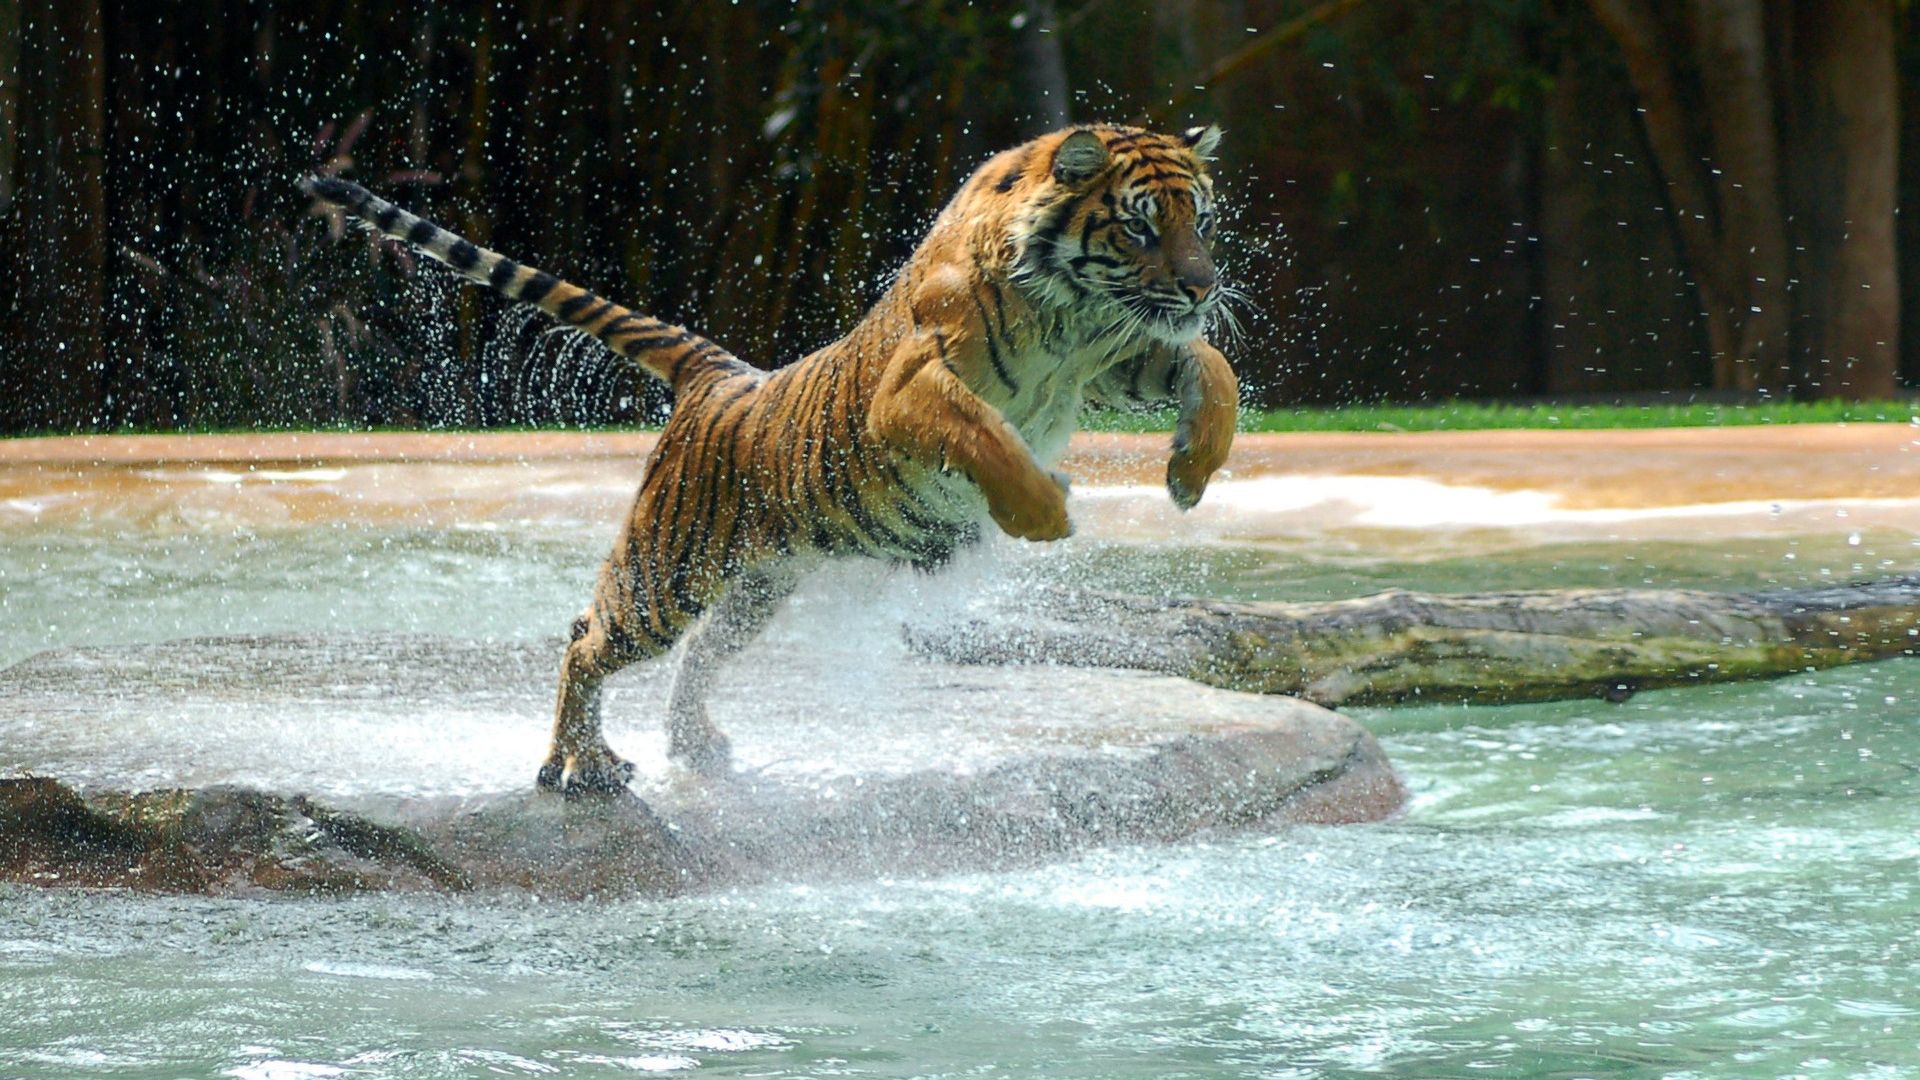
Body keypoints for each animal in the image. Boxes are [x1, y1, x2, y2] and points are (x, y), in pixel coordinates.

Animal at [302, 122, 1238, 797]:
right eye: (1140, 225)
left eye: (1199, 219)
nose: (1204, 286)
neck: (1072, 315)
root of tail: (720, 375)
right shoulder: (911, 389)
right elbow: (986, 436)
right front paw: (1045, 510)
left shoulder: (1118, 358)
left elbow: (1211, 366)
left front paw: (1190, 472)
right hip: (667, 572)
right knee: (586, 639)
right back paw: (581, 767)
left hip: (758, 584)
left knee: (698, 656)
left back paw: (695, 748)